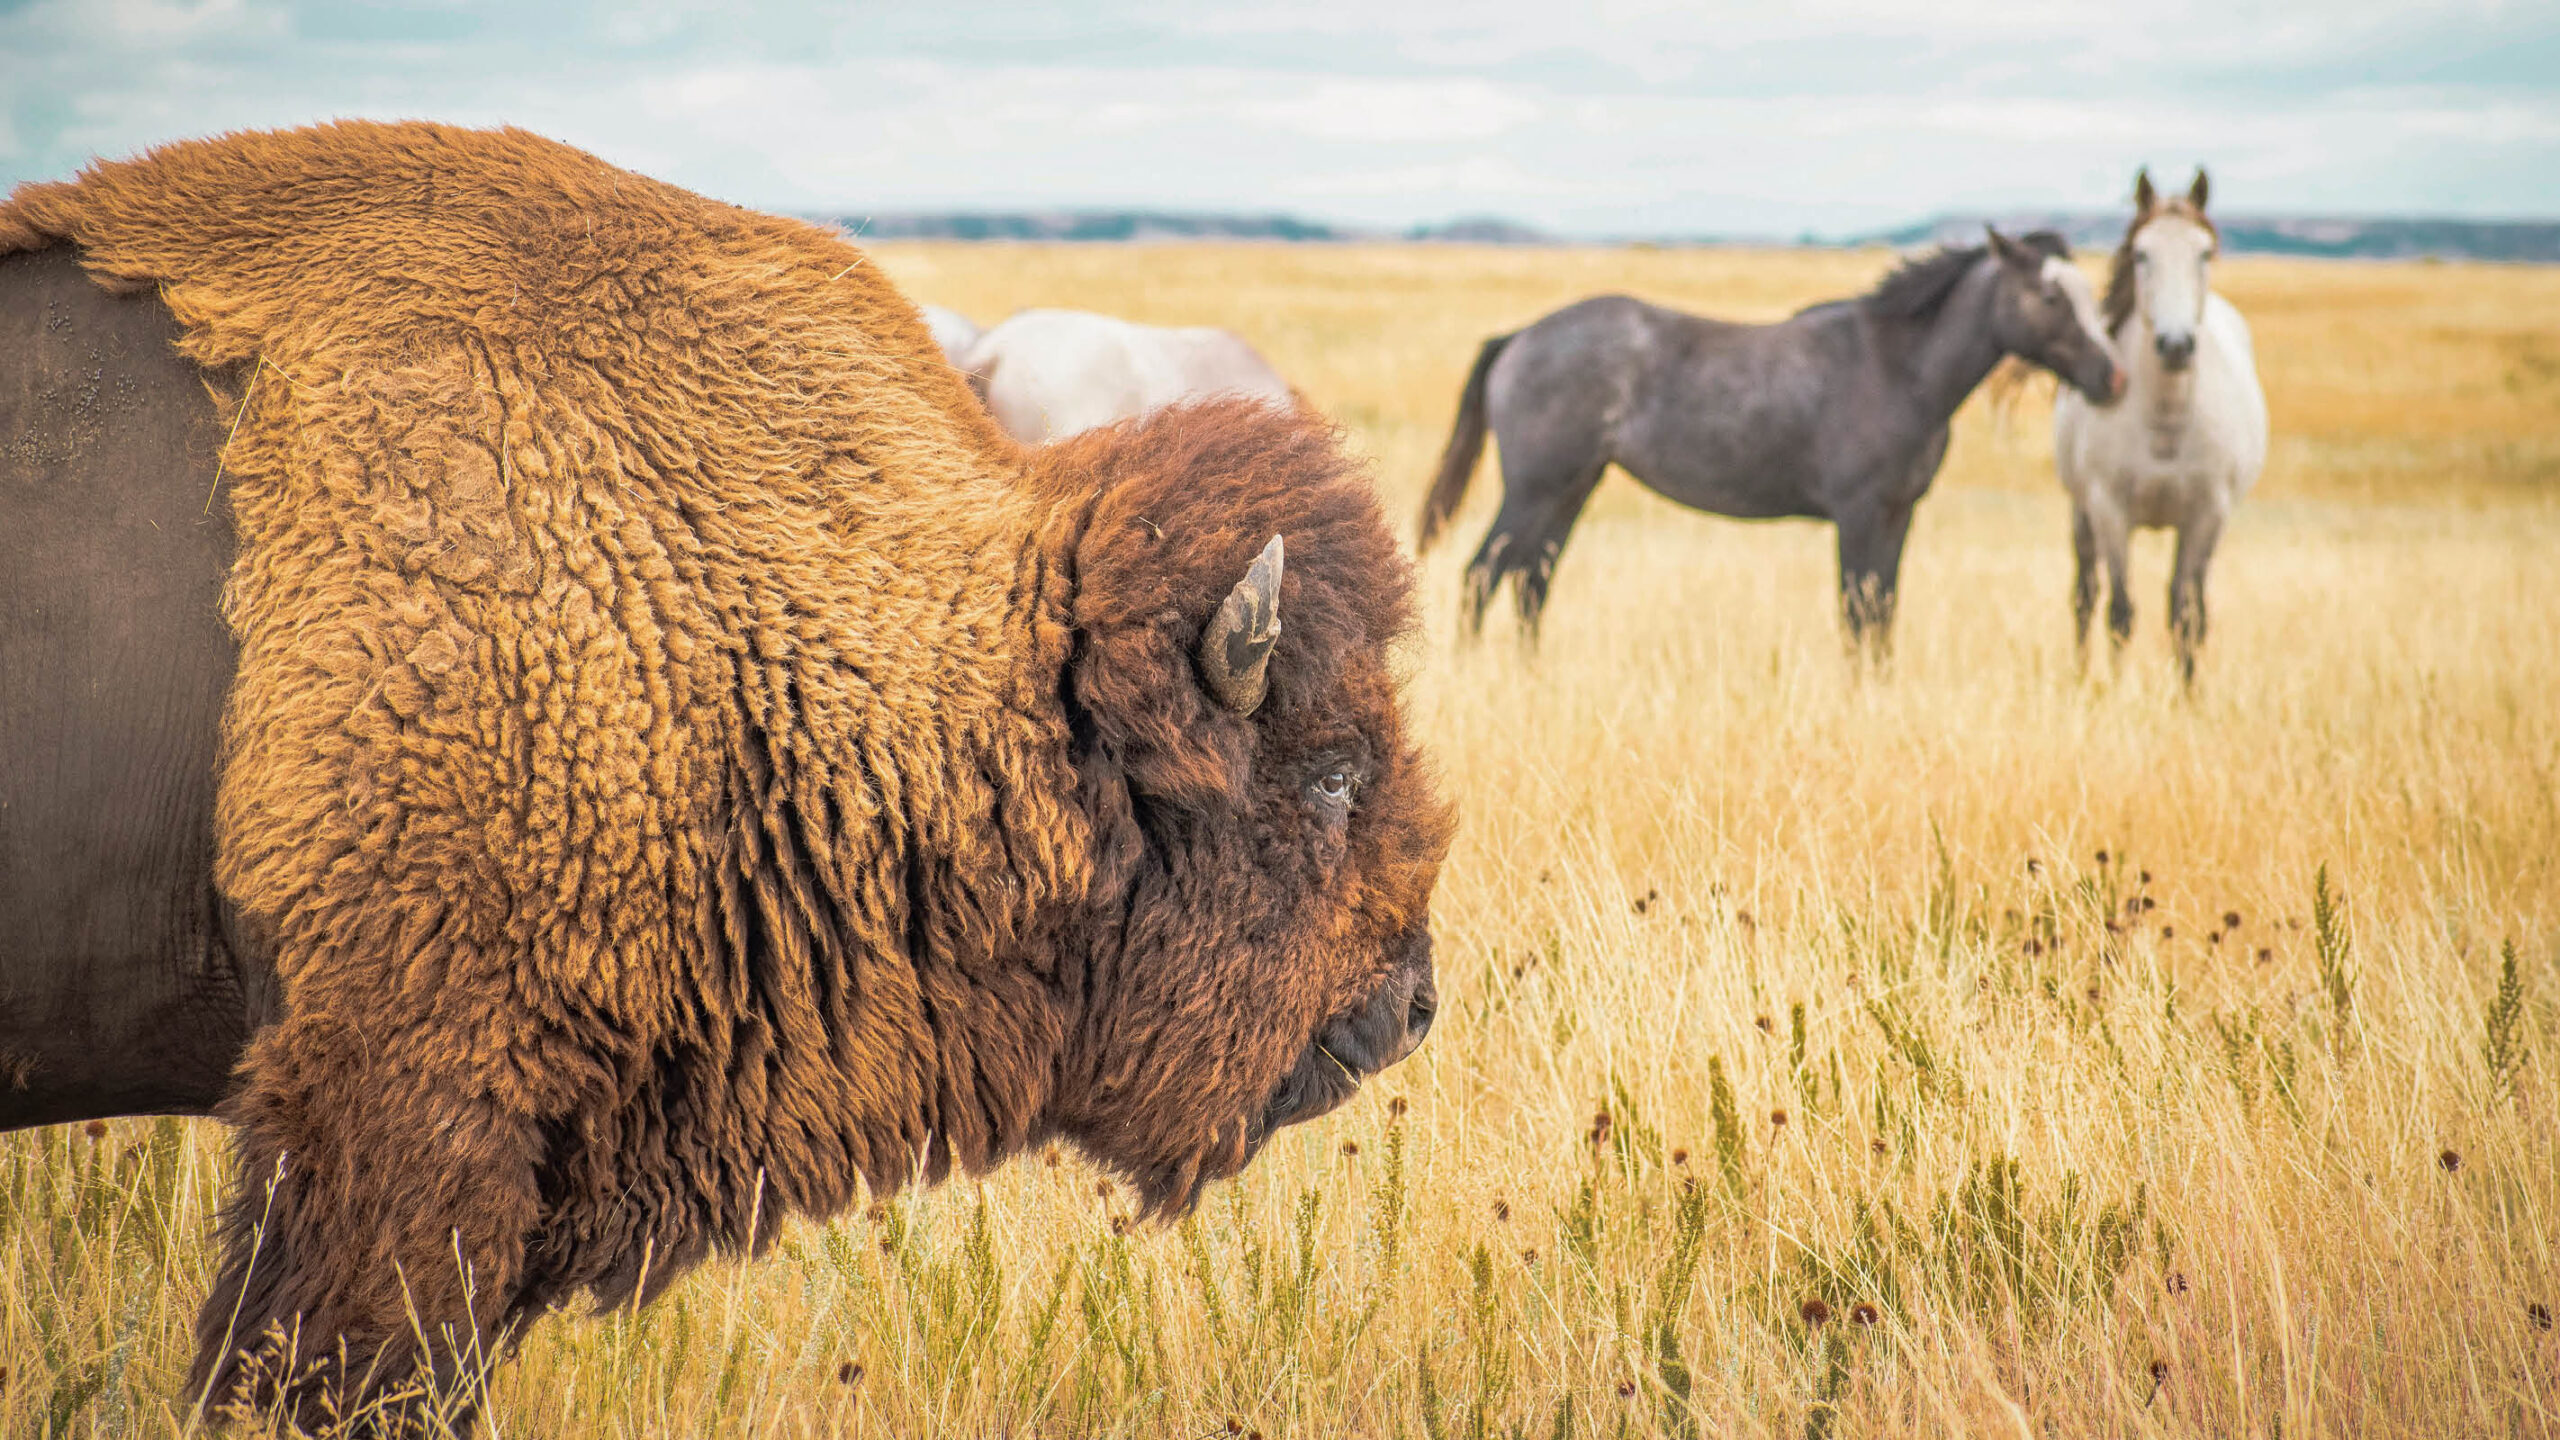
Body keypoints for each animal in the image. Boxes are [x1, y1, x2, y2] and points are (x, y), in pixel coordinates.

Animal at [1416, 230, 2124, 657]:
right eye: (2050, 295)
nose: (2114, 377)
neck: (1898, 369)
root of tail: (1520, 337)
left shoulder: (1898, 515)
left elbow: (1883, 613)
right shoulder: (1859, 516)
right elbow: (1856, 612)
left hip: (1572, 488)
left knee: (1532, 582)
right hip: (1535, 490)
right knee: (1483, 576)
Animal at [2053, 168, 2268, 683]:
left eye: (2204, 252)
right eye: (2141, 253)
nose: (2175, 344)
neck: (2165, 418)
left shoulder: (2208, 515)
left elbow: (2188, 616)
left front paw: (2189, 694)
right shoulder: (2109, 510)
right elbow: (2119, 612)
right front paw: (2113, 689)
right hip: (2081, 511)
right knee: (2085, 597)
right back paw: (2081, 674)